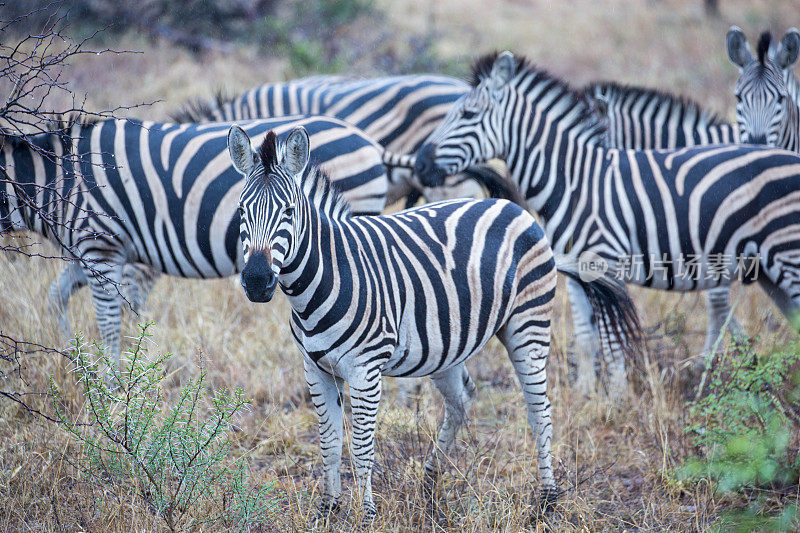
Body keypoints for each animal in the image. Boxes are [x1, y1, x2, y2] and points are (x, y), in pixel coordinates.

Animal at [0, 114, 394, 360]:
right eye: (240, 211)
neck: (57, 180)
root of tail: (370, 142)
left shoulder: (100, 244)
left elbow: (109, 324)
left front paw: (112, 390)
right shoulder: (93, 251)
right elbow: (56, 298)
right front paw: (76, 360)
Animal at [228, 125, 640, 524]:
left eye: (288, 211)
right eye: (242, 210)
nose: (257, 280)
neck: (326, 279)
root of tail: (515, 208)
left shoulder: (365, 371)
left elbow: (361, 447)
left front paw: (366, 516)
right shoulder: (315, 369)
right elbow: (328, 441)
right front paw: (327, 511)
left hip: (528, 323)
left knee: (539, 408)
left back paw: (547, 500)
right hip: (446, 345)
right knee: (462, 401)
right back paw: (428, 483)